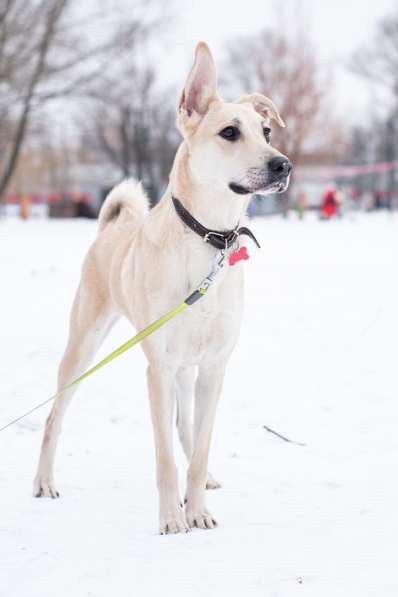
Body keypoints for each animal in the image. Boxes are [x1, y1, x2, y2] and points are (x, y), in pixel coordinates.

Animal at [32, 44, 290, 532]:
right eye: (230, 132)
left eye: (266, 131)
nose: (283, 164)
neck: (209, 239)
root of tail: (114, 226)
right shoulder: (158, 369)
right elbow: (165, 459)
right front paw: (172, 518)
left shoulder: (213, 368)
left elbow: (199, 447)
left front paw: (199, 510)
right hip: (84, 347)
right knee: (55, 415)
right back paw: (44, 482)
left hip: (187, 370)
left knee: (186, 428)